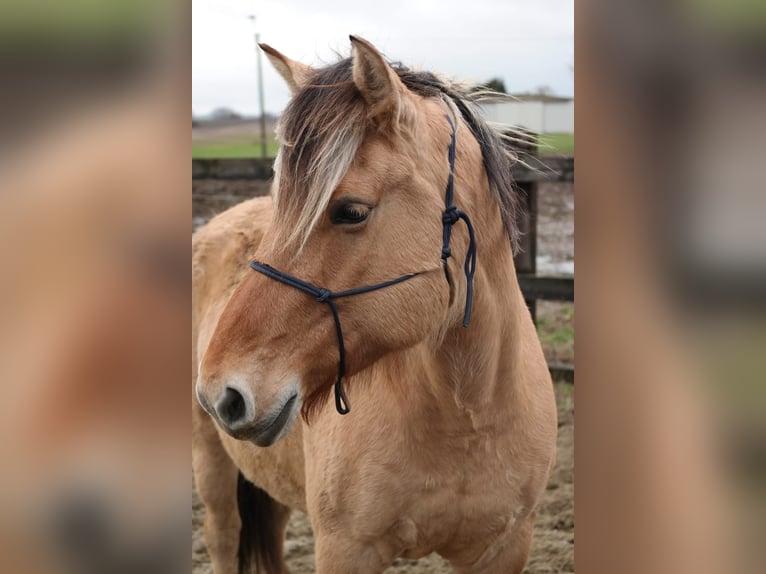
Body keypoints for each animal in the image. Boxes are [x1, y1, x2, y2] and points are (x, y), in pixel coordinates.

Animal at [192, 37, 560, 574]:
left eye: (351, 211)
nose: (223, 392)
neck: (468, 415)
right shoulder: (346, 550)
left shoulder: (505, 549)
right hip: (211, 463)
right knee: (222, 535)